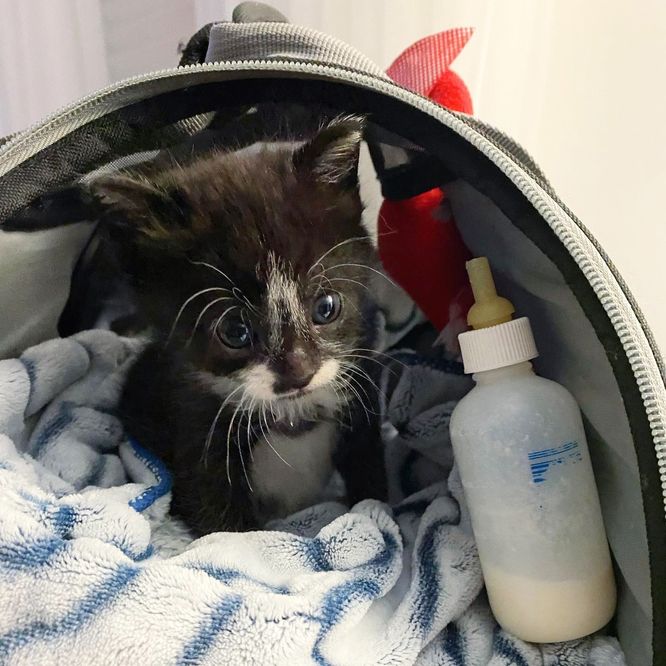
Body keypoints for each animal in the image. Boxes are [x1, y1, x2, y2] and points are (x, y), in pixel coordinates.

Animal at [91, 115, 386, 536]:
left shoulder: (361, 388)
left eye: (326, 307)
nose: (298, 374)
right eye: (234, 332)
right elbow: (223, 525)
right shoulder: (195, 423)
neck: (290, 414)